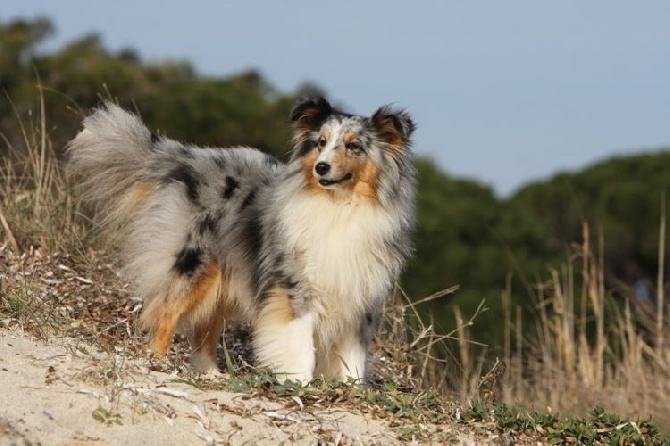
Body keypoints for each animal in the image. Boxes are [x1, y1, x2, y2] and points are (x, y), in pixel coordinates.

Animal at [67, 97, 414, 384]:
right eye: (321, 143)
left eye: (353, 146)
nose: (321, 167)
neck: (339, 208)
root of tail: (189, 159)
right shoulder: (295, 287)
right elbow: (300, 344)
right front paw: (298, 384)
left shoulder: (359, 300)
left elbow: (353, 359)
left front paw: (350, 390)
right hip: (195, 263)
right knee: (164, 313)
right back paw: (158, 362)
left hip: (223, 280)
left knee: (203, 331)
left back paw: (211, 375)